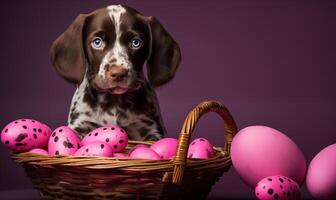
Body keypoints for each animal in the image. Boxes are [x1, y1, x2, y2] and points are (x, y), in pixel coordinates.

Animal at [50, 3, 181, 140]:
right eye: (97, 42)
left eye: (136, 42)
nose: (118, 73)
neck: (114, 101)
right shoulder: (80, 124)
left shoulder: (152, 129)